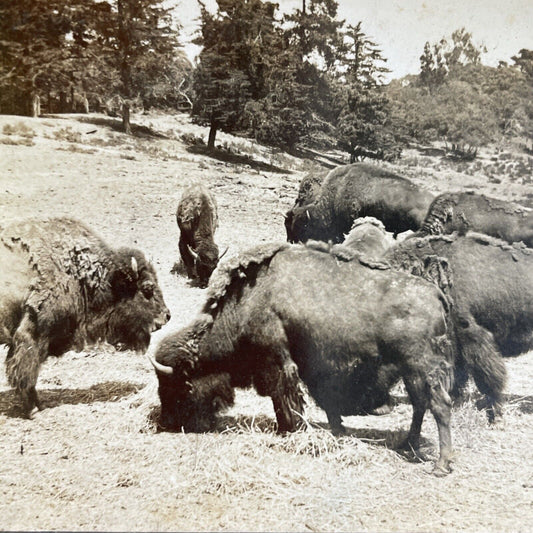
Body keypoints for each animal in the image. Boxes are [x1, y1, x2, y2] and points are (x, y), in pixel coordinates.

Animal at [152, 241, 456, 474]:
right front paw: (334, 431)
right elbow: (322, 404)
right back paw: (407, 444)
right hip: (411, 372)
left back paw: (441, 465)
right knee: (420, 405)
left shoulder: (279, 363)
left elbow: (284, 398)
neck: (250, 300)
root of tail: (435, 294)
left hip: (423, 368)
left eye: (178, 388)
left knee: (440, 406)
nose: (167, 423)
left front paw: (289, 430)